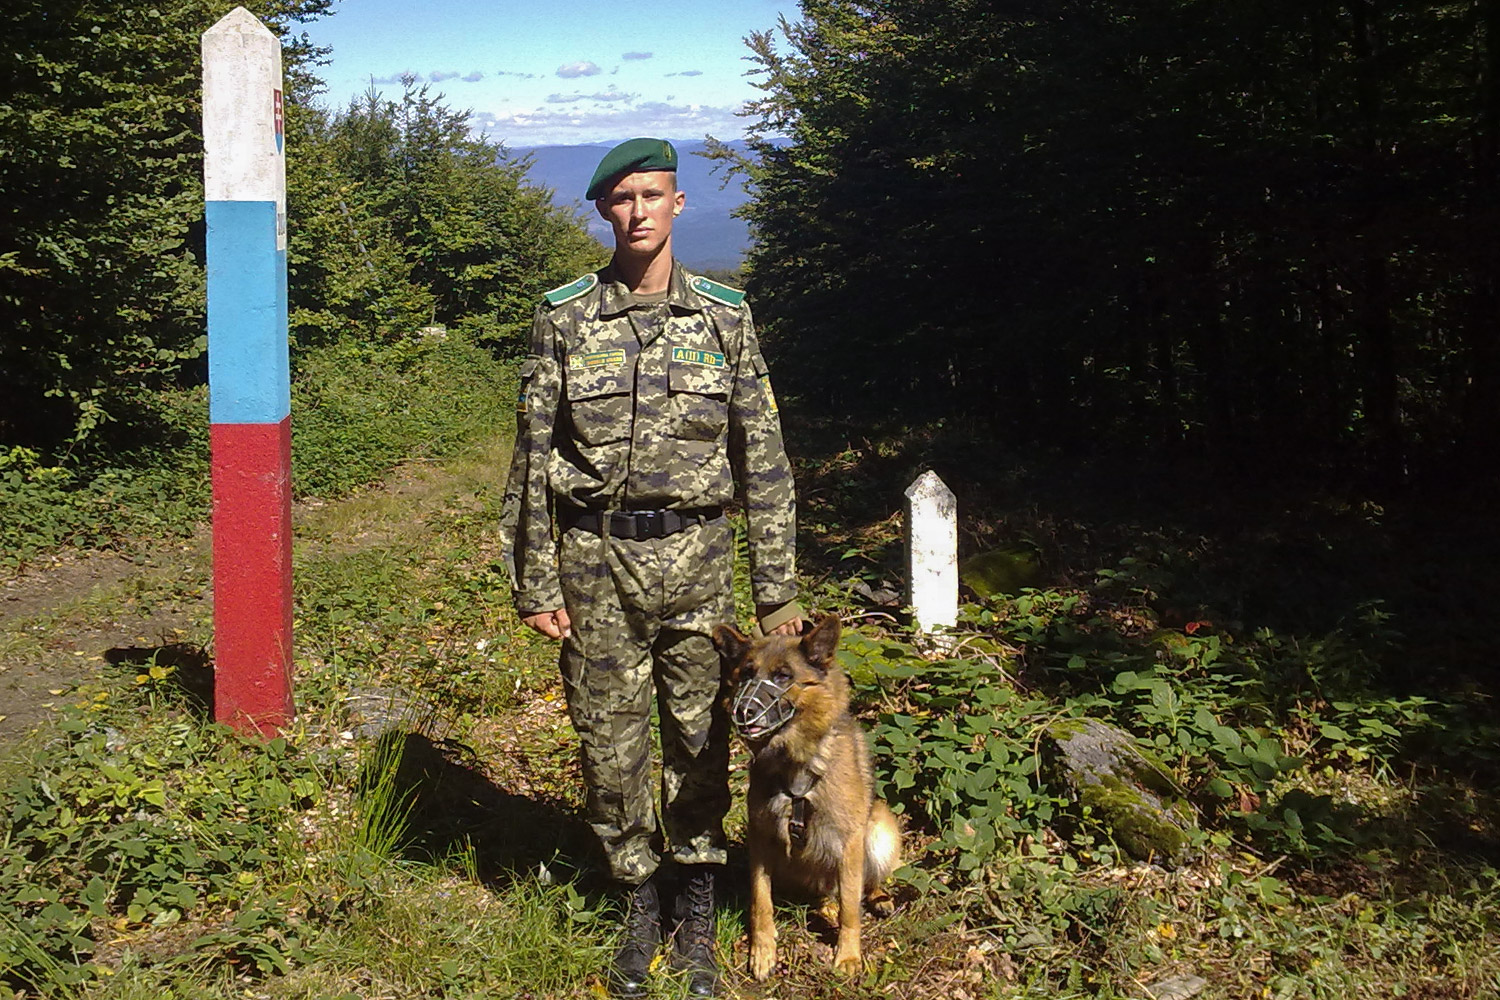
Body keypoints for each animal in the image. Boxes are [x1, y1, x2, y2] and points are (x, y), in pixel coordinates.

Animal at [712, 614, 901, 979]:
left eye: (783, 676)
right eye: (746, 674)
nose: (743, 711)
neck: (796, 760)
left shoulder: (850, 839)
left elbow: (850, 908)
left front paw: (848, 955)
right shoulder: (761, 837)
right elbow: (760, 900)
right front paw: (763, 949)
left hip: (880, 828)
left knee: (863, 885)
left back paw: (877, 897)